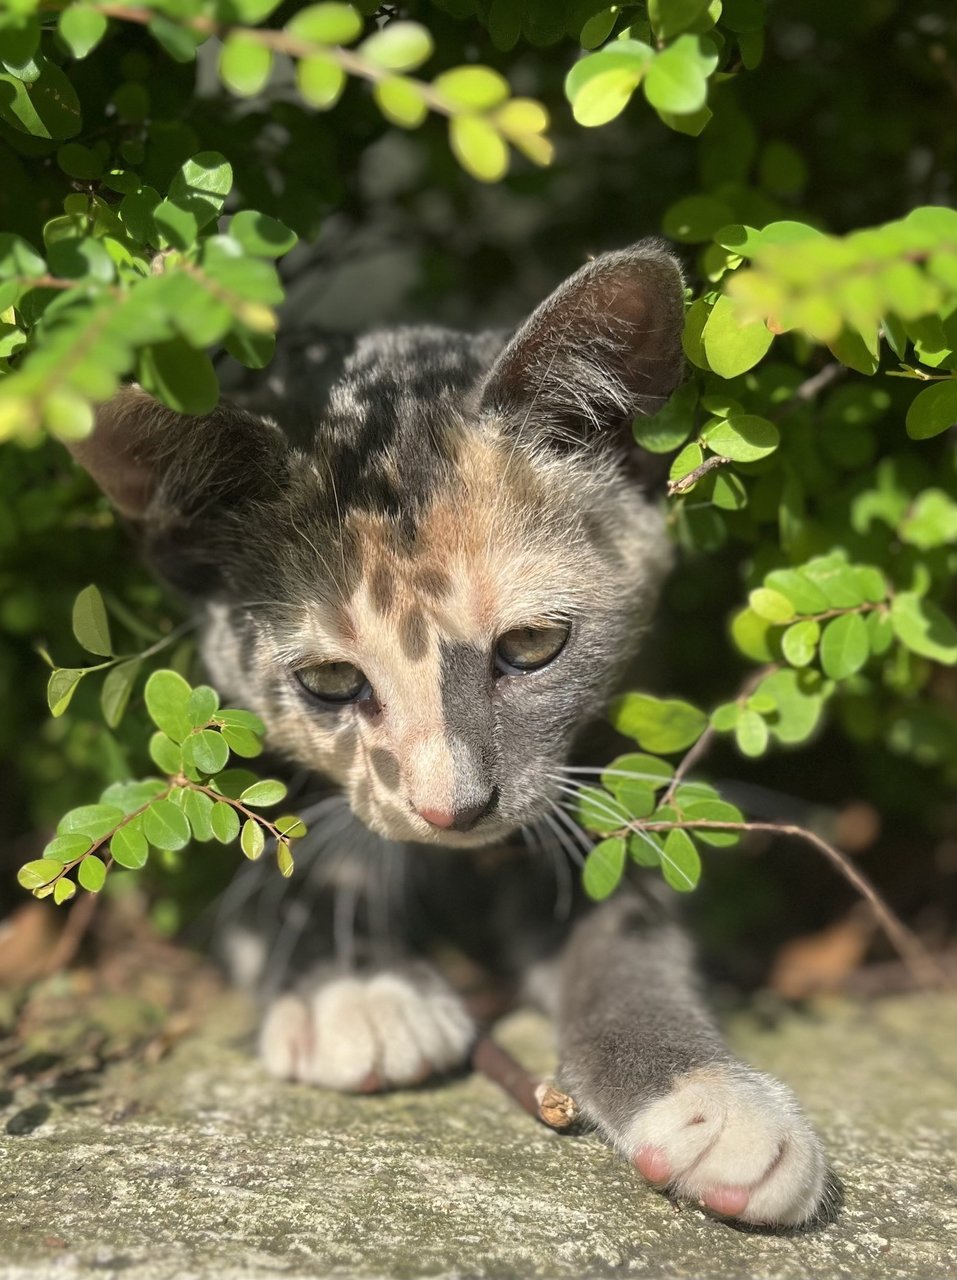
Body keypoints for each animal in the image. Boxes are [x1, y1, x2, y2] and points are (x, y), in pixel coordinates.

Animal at [71, 241, 829, 1228]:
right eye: (328, 682)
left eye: (534, 645)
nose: (452, 808)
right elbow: (270, 865)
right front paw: (354, 987)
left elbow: (623, 928)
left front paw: (710, 1099)